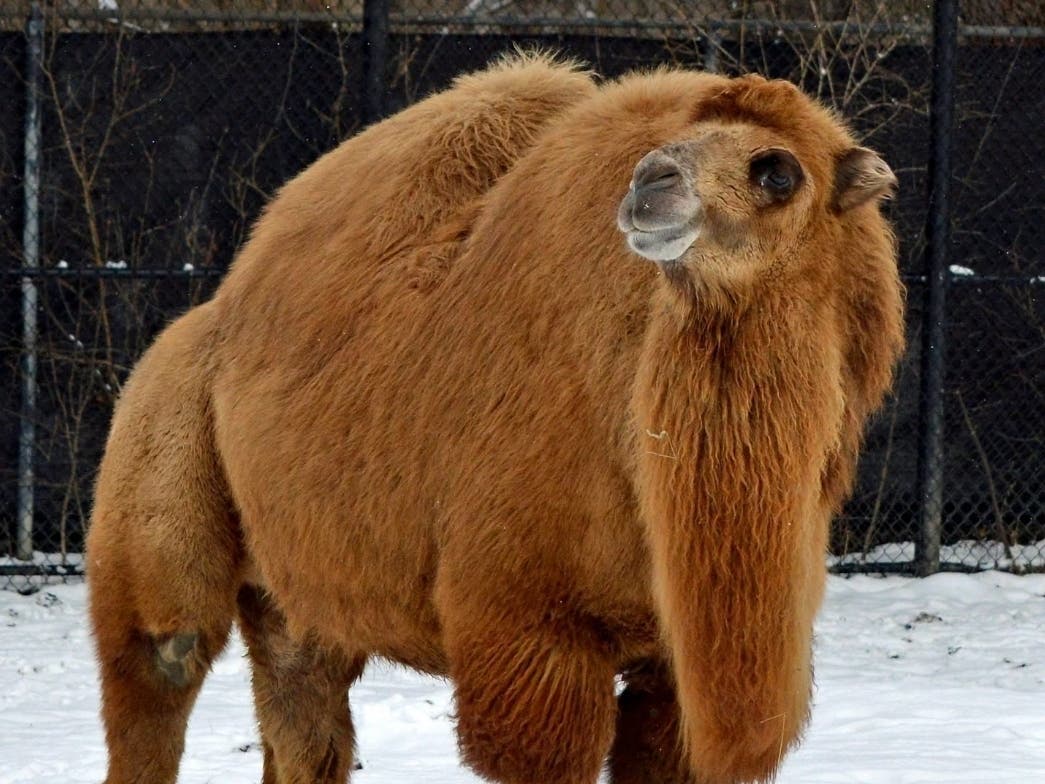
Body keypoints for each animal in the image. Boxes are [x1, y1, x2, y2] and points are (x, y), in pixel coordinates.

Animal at [86, 53, 904, 784]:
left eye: (777, 171)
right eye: (670, 147)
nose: (651, 184)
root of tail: (212, 314)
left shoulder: (675, 666)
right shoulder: (528, 629)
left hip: (296, 592)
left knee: (302, 713)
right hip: (161, 442)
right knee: (162, 659)